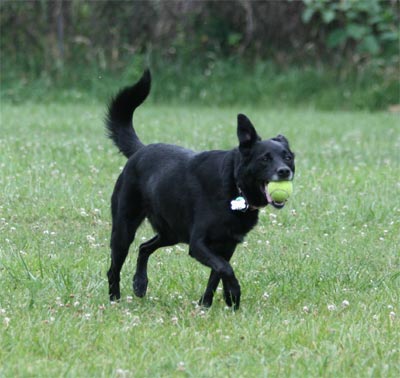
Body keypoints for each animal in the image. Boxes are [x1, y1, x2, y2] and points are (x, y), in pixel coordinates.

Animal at [105, 71, 294, 310]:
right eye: (265, 159)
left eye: (288, 157)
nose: (284, 171)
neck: (234, 186)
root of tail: (141, 150)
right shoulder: (198, 244)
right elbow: (225, 269)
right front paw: (234, 294)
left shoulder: (227, 245)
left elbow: (217, 273)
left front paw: (207, 303)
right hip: (124, 229)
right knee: (114, 267)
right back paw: (115, 298)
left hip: (171, 232)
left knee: (144, 247)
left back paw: (140, 283)